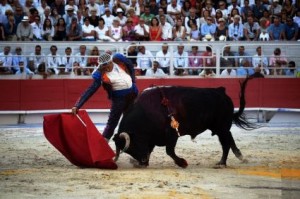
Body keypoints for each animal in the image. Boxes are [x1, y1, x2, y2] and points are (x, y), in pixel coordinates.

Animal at [112, 77, 253, 168]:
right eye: (128, 150)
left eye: (133, 145)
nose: (142, 161)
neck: (147, 111)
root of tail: (221, 91)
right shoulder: (152, 138)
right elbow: (151, 149)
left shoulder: (171, 134)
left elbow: (169, 151)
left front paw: (182, 163)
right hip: (221, 128)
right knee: (229, 139)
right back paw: (240, 157)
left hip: (221, 127)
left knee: (225, 144)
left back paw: (222, 163)